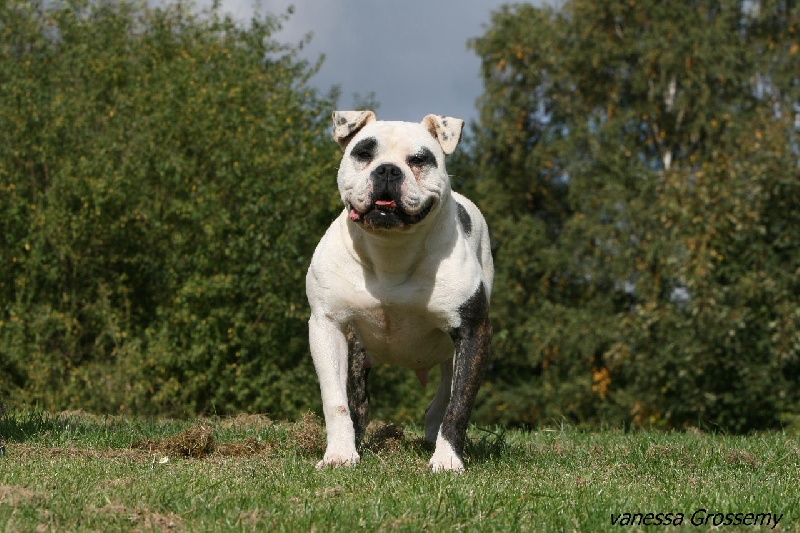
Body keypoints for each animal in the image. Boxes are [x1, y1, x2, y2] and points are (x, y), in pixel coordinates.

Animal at [306, 111, 494, 470]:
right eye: (364, 153)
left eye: (419, 160)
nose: (388, 170)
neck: (390, 248)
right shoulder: (327, 325)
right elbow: (336, 401)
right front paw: (339, 454)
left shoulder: (472, 331)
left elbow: (459, 404)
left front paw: (447, 460)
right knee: (358, 400)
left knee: (444, 395)